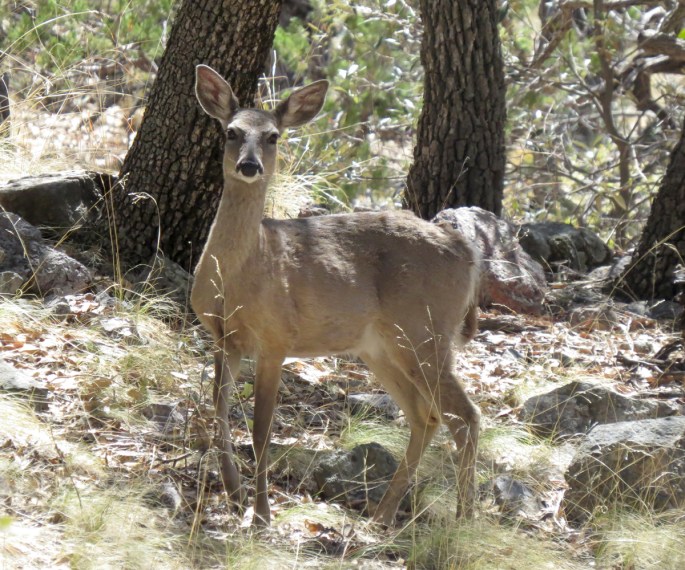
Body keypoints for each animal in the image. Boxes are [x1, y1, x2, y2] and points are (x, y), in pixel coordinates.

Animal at [191, 64, 481, 527]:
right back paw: (383, 515)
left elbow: (260, 430)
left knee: (466, 416)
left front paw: (262, 514)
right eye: (231, 131)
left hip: (427, 330)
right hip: (380, 347)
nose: (249, 165)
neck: (238, 276)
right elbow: (217, 416)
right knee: (426, 415)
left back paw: (462, 520)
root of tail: (468, 253)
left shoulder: (275, 338)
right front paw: (235, 497)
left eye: (273, 136)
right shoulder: (224, 338)